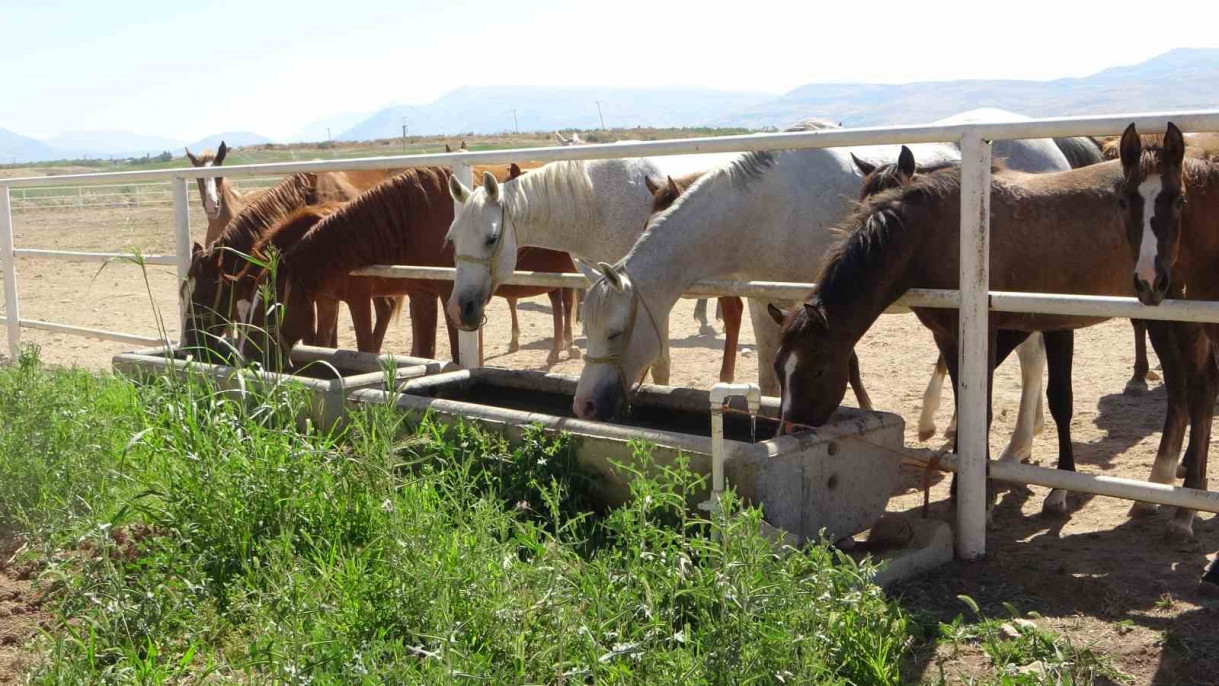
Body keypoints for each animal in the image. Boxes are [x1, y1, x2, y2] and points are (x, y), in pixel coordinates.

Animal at [575, 112, 1072, 465]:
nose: (585, 405)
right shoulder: (765, 300)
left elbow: (843, 366)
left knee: (1031, 363)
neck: (765, 207)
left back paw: (1015, 448)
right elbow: (771, 376)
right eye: (587, 328)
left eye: (615, 332)